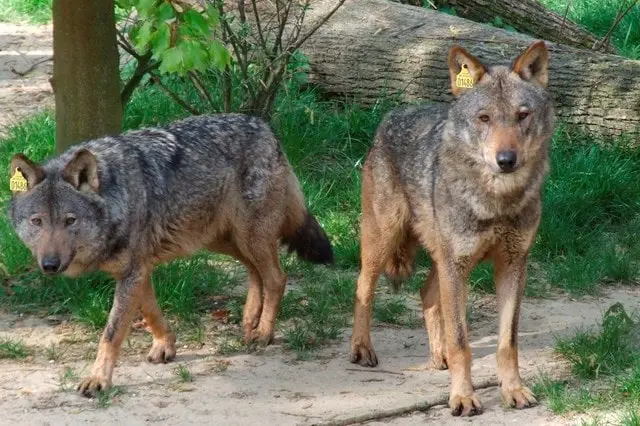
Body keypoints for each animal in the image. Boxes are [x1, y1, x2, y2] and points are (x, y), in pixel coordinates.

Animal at [8, 112, 336, 396]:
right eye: (37, 221)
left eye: (70, 220)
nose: (50, 265)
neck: (117, 198)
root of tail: (264, 126)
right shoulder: (139, 270)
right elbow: (151, 312)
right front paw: (165, 346)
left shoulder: (133, 272)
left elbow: (111, 333)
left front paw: (98, 379)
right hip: (219, 240)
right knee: (255, 271)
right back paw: (248, 320)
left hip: (248, 236)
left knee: (277, 277)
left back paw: (264, 332)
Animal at [350, 40, 556, 416]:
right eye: (484, 118)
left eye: (522, 115)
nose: (506, 160)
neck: (496, 202)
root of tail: (392, 115)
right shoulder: (456, 265)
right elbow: (462, 342)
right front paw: (462, 397)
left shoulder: (513, 265)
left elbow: (507, 343)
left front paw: (513, 390)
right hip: (385, 242)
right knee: (363, 288)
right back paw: (361, 350)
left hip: (443, 261)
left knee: (426, 295)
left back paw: (438, 355)